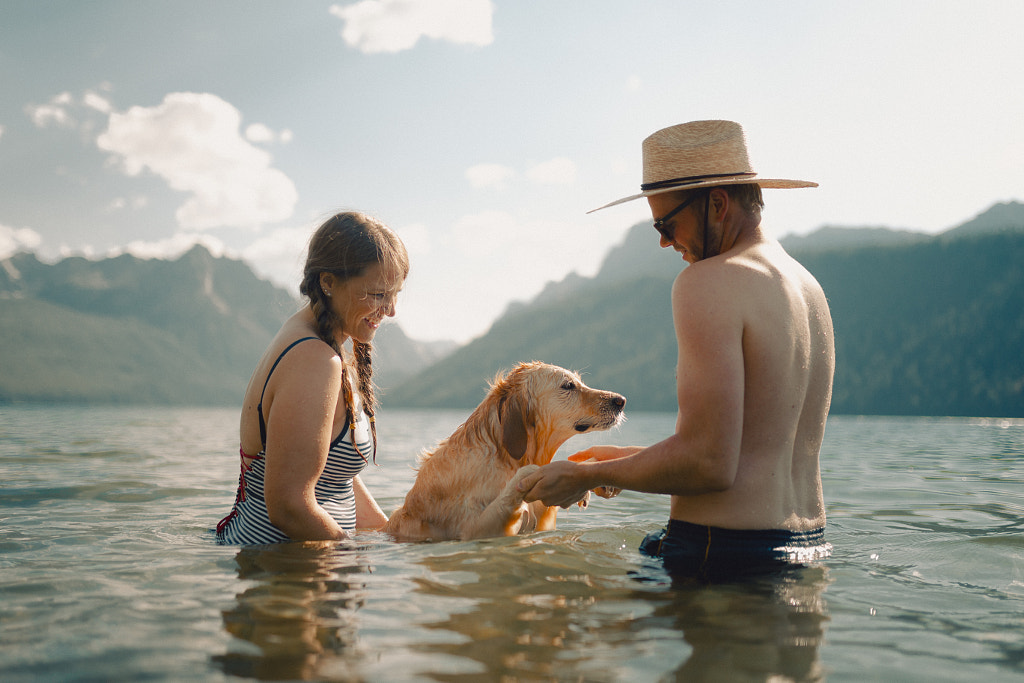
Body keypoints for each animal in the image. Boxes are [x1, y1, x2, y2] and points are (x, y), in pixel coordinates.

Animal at [382, 360, 622, 540]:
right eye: (568, 386)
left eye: (580, 382)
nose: (621, 401)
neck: (507, 457)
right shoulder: (475, 530)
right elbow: (521, 481)